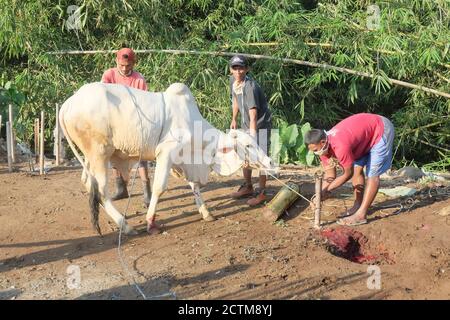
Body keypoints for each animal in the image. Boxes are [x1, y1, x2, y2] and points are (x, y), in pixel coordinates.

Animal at [59, 82, 274, 235]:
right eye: (248, 145)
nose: (270, 162)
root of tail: (68, 104)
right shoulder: (166, 152)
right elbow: (159, 188)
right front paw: (150, 222)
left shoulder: (183, 158)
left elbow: (194, 186)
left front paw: (206, 213)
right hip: (100, 153)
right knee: (102, 190)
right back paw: (126, 226)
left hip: (90, 157)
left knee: (88, 183)